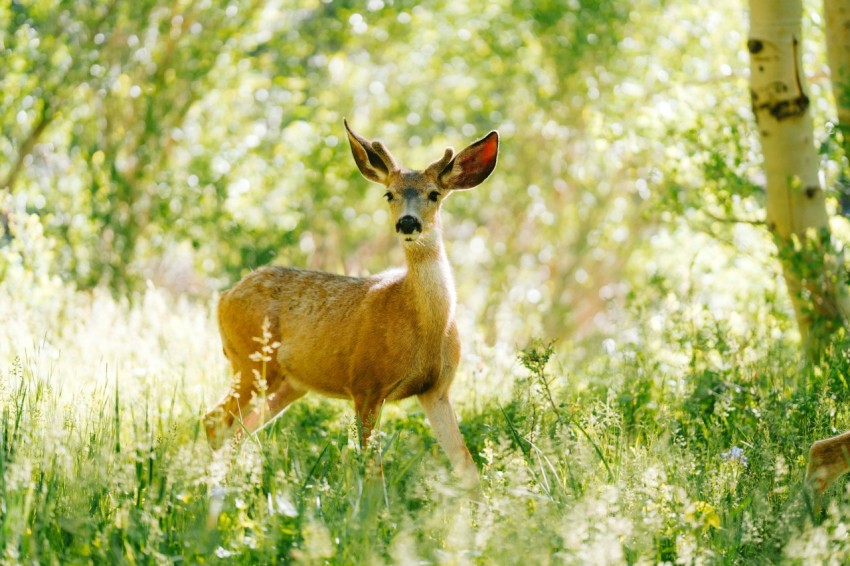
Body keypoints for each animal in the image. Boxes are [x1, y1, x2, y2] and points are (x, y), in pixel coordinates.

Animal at [204, 121, 496, 488]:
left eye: (434, 193)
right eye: (389, 193)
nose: (408, 223)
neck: (424, 325)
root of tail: (223, 298)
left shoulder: (437, 389)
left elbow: (466, 464)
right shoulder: (366, 383)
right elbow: (372, 470)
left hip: (288, 383)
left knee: (240, 428)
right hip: (251, 361)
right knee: (214, 420)